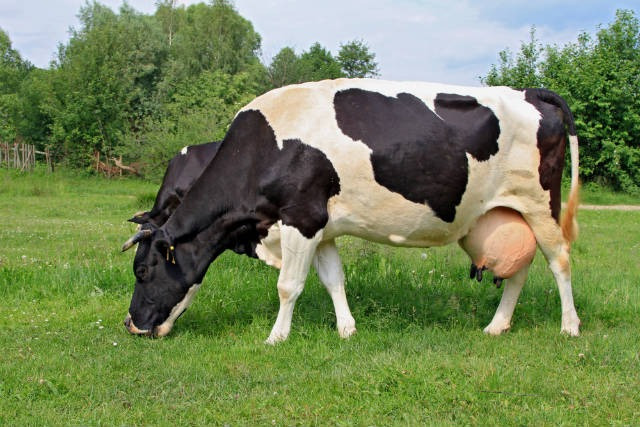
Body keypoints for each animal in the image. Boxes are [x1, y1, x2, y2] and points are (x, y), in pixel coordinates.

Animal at [122, 78, 581, 343]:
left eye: (142, 270)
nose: (131, 324)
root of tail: (529, 92)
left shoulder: (300, 217)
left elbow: (289, 285)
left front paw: (276, 338)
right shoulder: (321, 226)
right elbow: (333, 280)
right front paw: (346, 329)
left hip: (541, 204)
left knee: (559, 260)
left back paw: (570, 327)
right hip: (506, 213)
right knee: (518, 268)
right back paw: (497, 325)